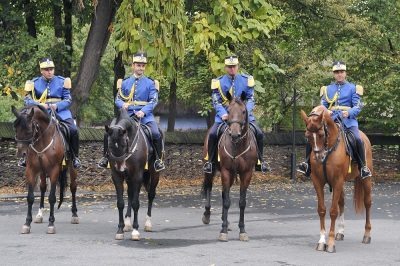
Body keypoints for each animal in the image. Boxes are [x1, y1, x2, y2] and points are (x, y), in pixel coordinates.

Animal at [12, 105, 79, 234]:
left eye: (29, 130)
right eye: (15, 129)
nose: (21, 153)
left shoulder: (54, 170)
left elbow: (52, 197)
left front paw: (51, 224)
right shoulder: (31, 170)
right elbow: (30, 197)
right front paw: (27, 223)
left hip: (72, 168)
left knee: (73, 187)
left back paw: (74, 215)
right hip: (42, 172)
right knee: (43, 188)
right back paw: (39, 214)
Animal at [105, 107, 160, 240]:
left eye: (124, 143)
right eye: (109, 144)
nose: (120, 166)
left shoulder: (137, 176)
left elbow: (136, 203)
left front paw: (135, 230)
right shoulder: (117, 176)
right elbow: (120, 203)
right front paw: (120, 229)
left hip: (154, 174)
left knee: (151, 195)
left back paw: (148, 223)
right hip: (128, 177)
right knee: (130, 194)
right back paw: (127, 223)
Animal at [202, 92, 258, 242]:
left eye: (244, 111)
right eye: (228, 110)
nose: (234, 134)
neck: (238, 145)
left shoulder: (246, 173)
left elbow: (242, 202)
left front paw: (242, 230)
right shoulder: (226, 171)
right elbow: (227, 201)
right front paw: (223, 231)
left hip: (232, 175)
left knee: (222, 193)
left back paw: (225, 220)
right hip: (211, 171)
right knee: (209, 187)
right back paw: (207, 215)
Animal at [302, 105, 374, 252]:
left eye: (321, 134)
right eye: (307, 136)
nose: (318, 158)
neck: (329, 147)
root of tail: (364, 136)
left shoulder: (337, 181)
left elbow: (333, 211)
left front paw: (330, 244)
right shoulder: (318, 182)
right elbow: (322, 210)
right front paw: (322, 241)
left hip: (365, 180)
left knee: (367, 202)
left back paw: (367, 234)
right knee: (341, 202)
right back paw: (340, 232)